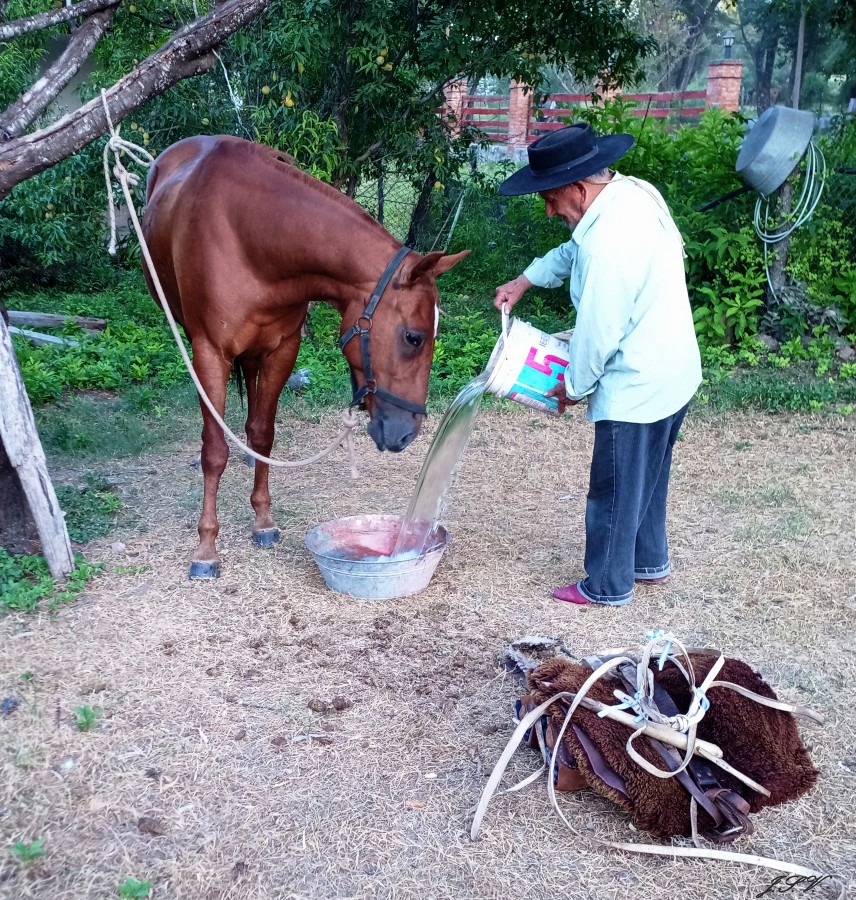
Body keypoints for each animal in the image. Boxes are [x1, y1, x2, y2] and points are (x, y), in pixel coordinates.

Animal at [144, 137, 472, 580]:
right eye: (413, 337)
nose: (406, 434)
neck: (252, 234)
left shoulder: (283, 348)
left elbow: (264, 432)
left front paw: (263, 521)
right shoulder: (210, 353)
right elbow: (214, 451)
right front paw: (207, 548)